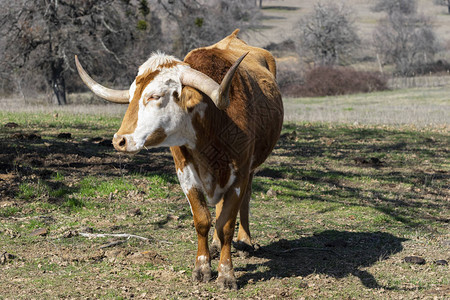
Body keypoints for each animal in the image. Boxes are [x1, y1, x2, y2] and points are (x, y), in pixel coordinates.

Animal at [75, 29, 284, 288]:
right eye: (132, 96)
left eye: (155, 96)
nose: (119, 140)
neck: (214, 125)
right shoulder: (185, 173)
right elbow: (203, 220)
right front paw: (202, 267)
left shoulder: (240, 173)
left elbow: (226, 223)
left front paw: (226, 274)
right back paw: (216, 245)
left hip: (251, 168)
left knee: (244, 200)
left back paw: (245, 240)